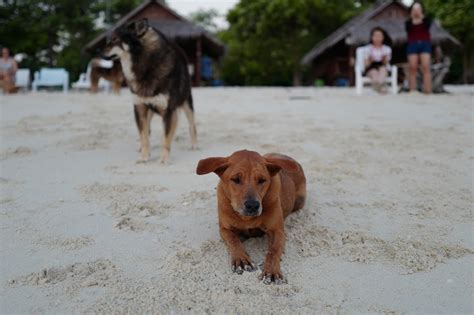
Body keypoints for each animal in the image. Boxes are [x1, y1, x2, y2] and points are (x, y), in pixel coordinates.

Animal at [100, 18, 196, 164]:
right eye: (108, 40)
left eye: (115, 39)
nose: (98, 52)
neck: (145, 65)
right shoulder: (139, 108)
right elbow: (144, 136)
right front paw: (144, 156)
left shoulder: (168, 110)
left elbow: (166, 137)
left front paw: (164, 158)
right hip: (149, 110)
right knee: (148, 131)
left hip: (187, 103)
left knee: (192, 125)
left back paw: (194, 145)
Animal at [196, 149, 308, 286]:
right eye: (236, 179)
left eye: (262, 180)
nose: (252, 205)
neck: (246, 219)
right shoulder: (224, 229)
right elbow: (234, 240)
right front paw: (241, 259)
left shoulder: (277, 231)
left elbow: (273, 251)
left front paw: (271, 271)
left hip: (299, 201)